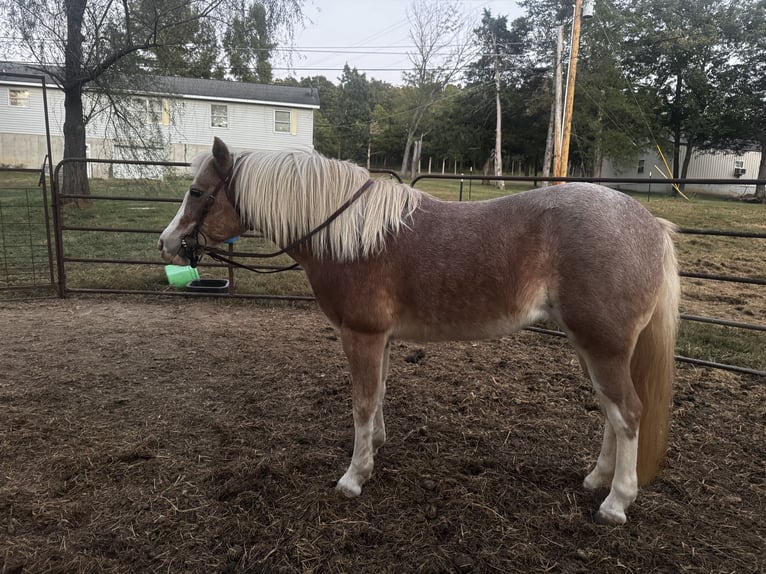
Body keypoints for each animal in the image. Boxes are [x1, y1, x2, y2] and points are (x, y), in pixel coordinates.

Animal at [158, 137, 680, 525]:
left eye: (198, 193)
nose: (166, 242)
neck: (350, 234)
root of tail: (650, 225)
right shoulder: (381, 338)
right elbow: (379, 395)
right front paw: (375, 448)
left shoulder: (361, 336)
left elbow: (362, 402)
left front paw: (354, 476)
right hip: (592, 346)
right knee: (612, 412)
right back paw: (597, 479)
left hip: (603, 346)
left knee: (628, 413)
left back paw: (615, 502)